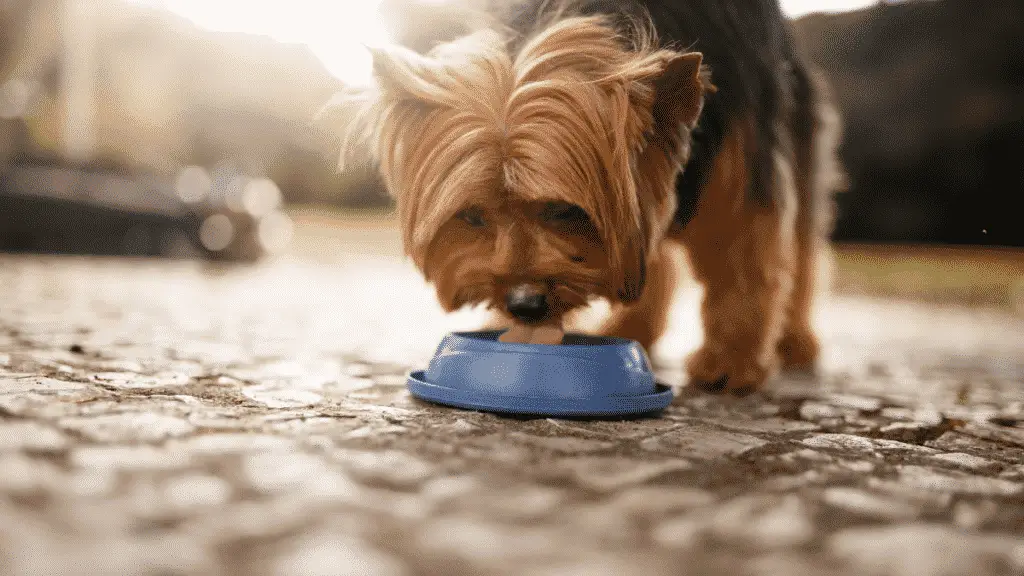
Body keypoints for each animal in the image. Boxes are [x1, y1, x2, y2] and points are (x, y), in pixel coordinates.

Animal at [323, 0, 843, 391]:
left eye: (563, 209)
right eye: (472, 216)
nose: (523, 304)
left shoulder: (742, 147)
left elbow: (744, 255)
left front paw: (730, 362)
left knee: (802, 247)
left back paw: (795, 341)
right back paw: (632, 327)